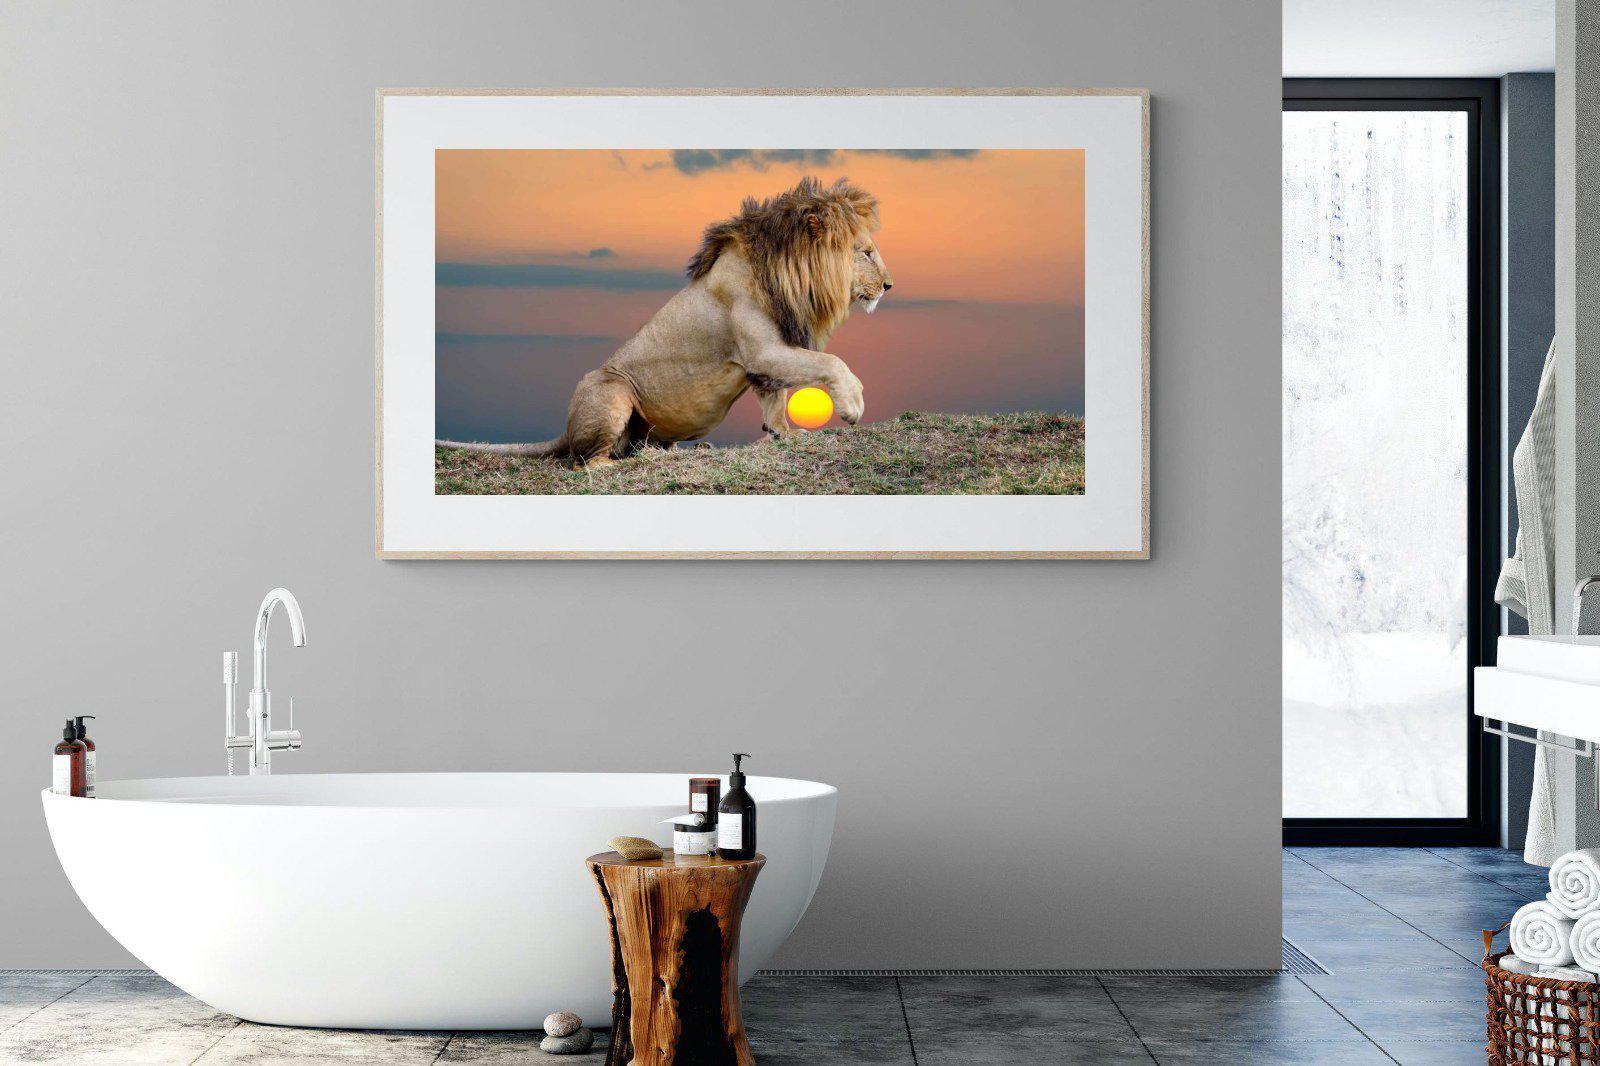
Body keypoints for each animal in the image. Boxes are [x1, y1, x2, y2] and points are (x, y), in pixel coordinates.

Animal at [436, 176, 893, 467]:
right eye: (867, 252)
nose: (889, 285)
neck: (788, 275)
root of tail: (566, 429)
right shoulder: (763, 350)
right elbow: (830, 363)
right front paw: (852, 405)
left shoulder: (767, 356)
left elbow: (775, 399)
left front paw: (786, 434)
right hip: (613, 388)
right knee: (586, 462)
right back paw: (625, 464)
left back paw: (660, 451)